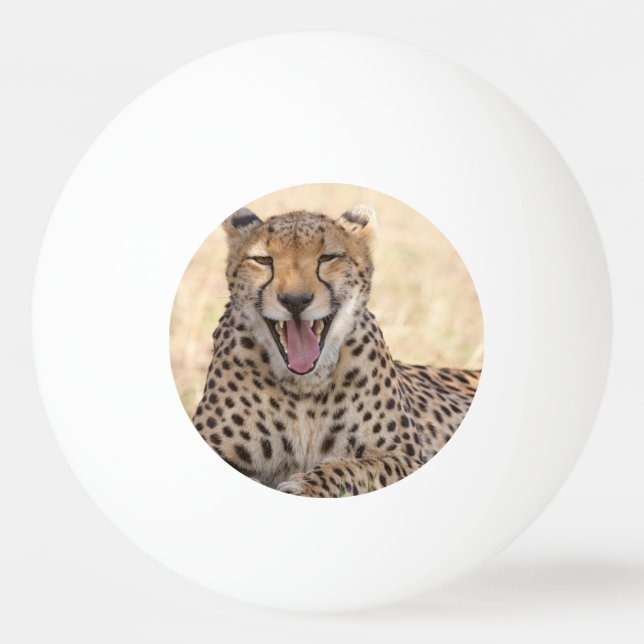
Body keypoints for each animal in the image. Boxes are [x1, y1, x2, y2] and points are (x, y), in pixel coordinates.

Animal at [191, 205, 480, 497]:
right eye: (262, 260)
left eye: (328, 257)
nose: (295, 301)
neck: (303, 387)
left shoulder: (405, 458)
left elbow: (352, 468)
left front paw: (303, 487)